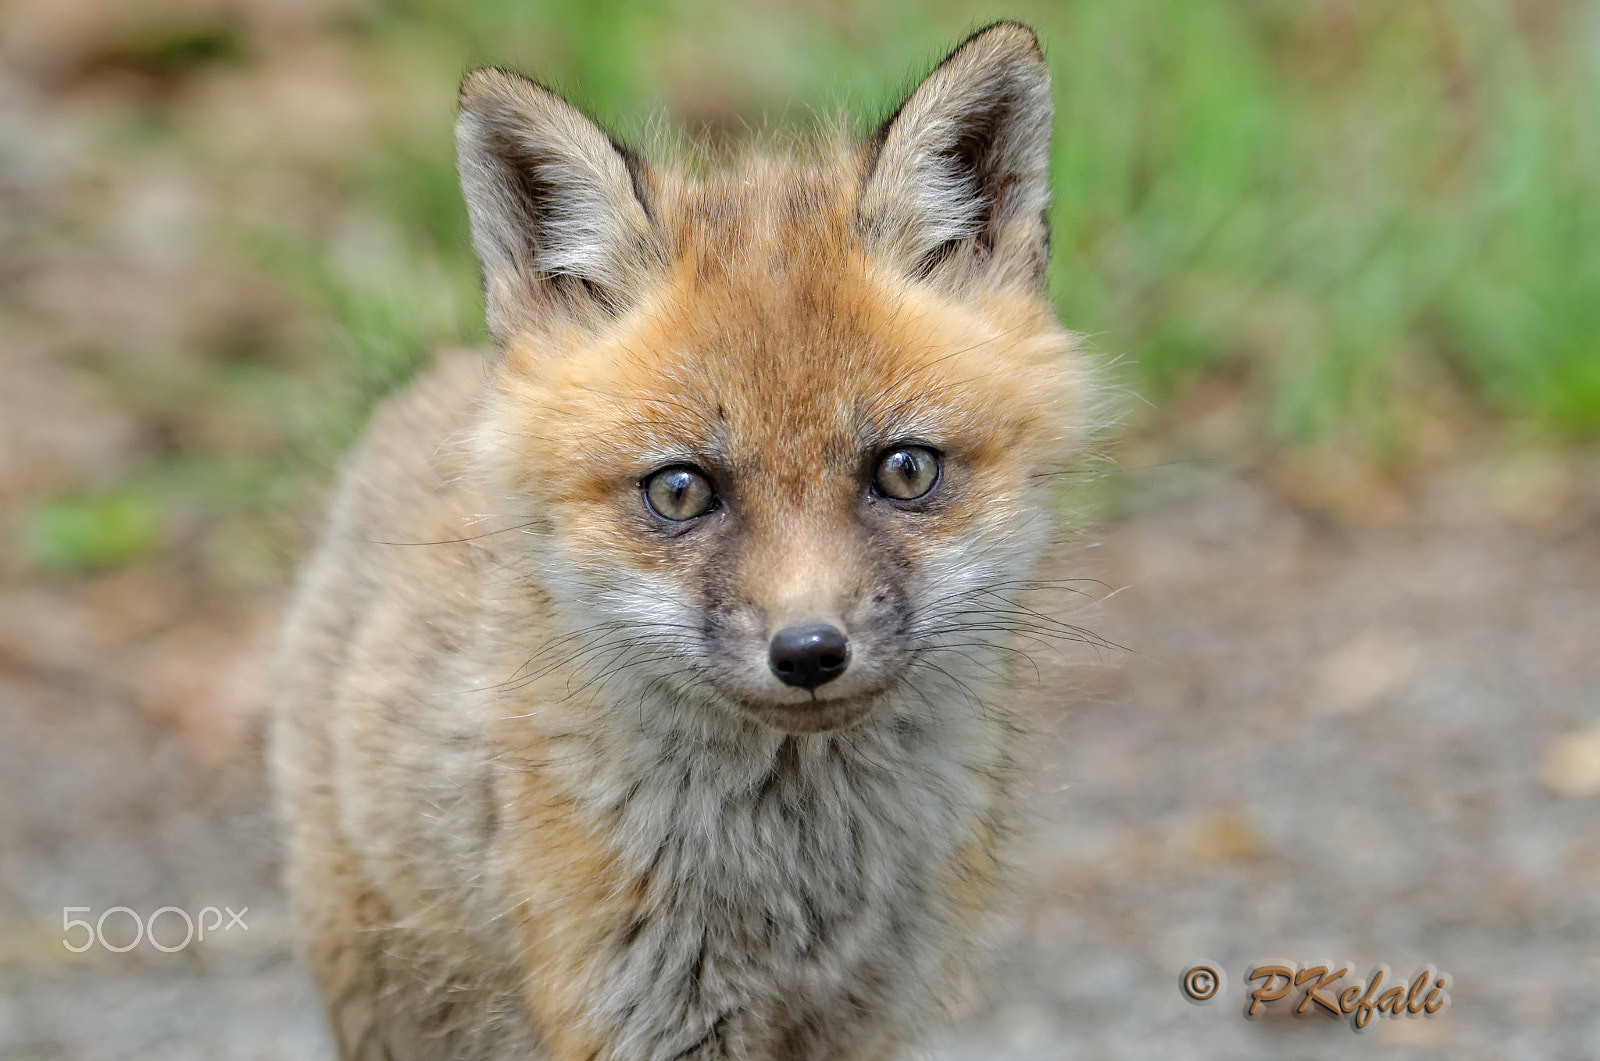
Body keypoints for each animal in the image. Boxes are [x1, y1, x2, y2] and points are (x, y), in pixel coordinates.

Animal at [271, 20, 1090, 1061]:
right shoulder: (632, 1011)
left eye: (905, 471)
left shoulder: (865, 1013)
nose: (809, 650)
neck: (796, 888)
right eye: (680, 489)